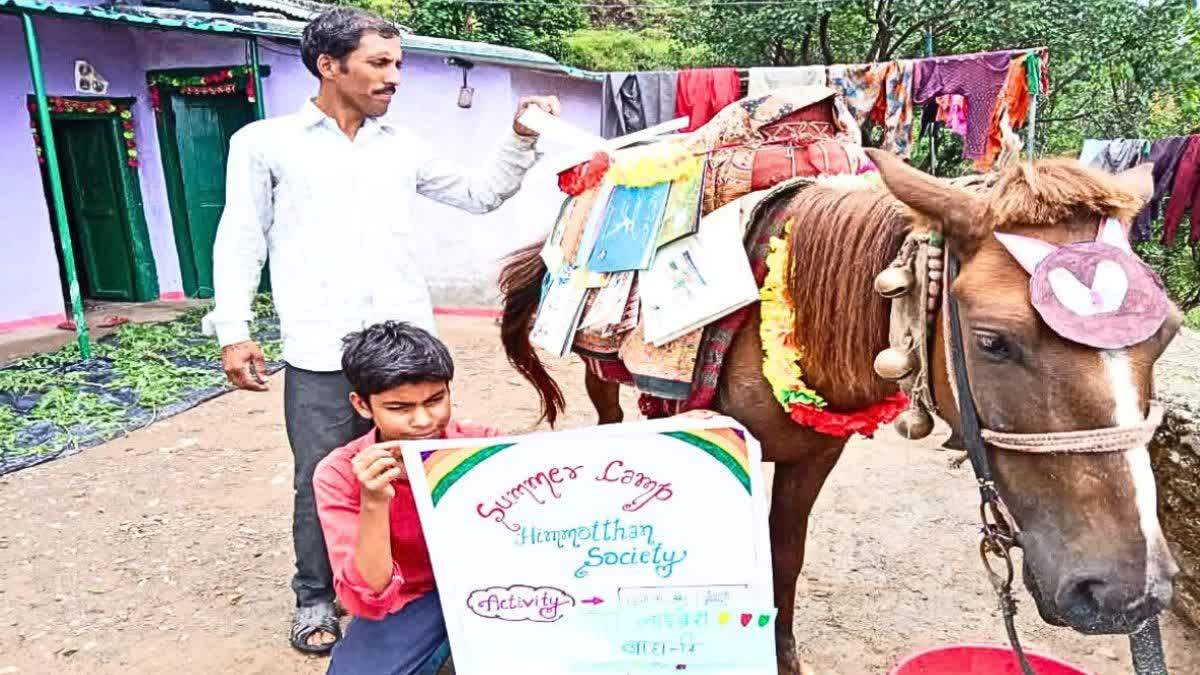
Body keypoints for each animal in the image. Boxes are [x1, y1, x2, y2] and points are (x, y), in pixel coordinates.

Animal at [496, 149, 1180, 667]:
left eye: (1167, 333)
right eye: (992, 341)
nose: (1126, 593)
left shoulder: (814, 456)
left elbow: (786, 555)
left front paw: (781, 651)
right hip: (601, 373)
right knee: (611, 421)